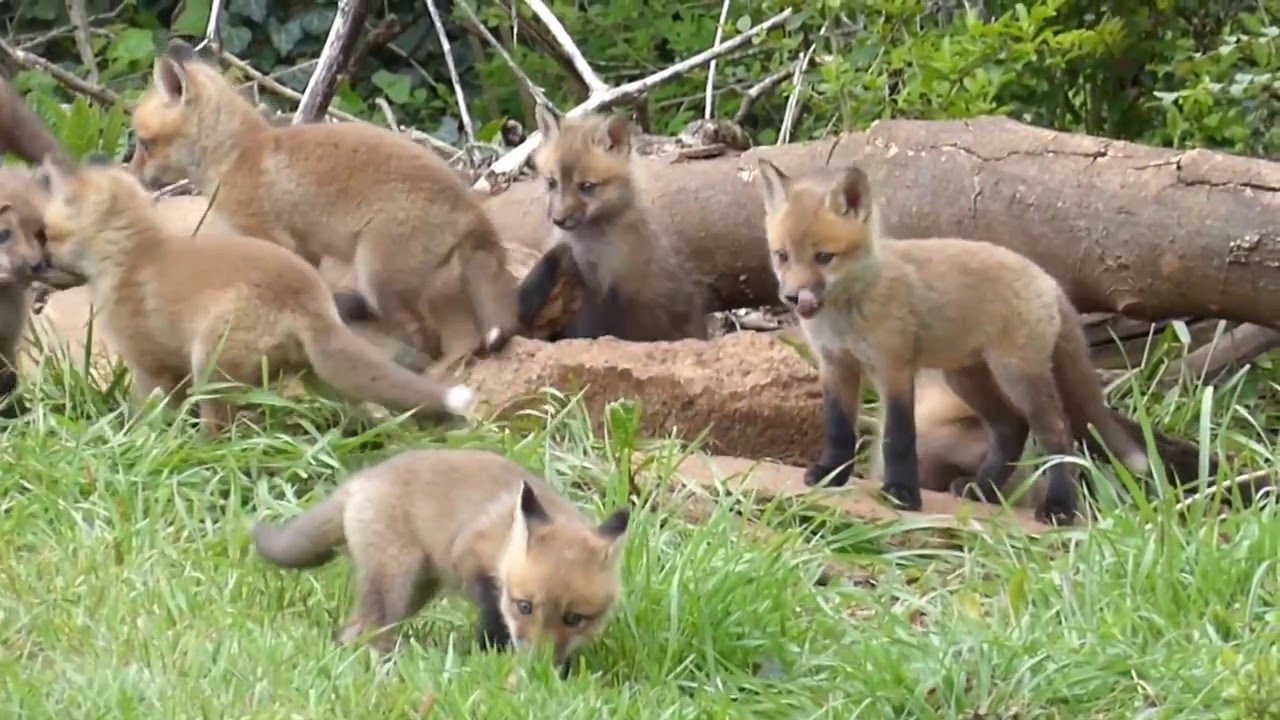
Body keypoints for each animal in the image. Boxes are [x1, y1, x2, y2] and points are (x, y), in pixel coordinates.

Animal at [35, 155, 476, 435]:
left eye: (47, 235)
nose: (33, 266)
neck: (136, 258)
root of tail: (310, 299)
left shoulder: (152, 367)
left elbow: (146, 412)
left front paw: (137, 439)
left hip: (210, 365)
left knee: (216, 429)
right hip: (319, 376)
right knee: (368, 411)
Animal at [128, 39, 519, 362]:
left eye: (144, 144)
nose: (130, 177)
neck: (238, 154)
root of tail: (470, 204)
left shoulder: (270, 236)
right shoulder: (305, 249)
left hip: (378, 276)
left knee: (430, 340)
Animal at [252, 448, 631, 672]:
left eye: (574, 618)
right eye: (524, 606)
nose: (535, 666)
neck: (503, 537)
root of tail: (361, 480)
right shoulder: (470, 558)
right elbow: (493, 617)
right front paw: (490, 657)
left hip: (416, 590)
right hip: (394, 579)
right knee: (361, 630)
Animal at [754, 158, 1216, 526]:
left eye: (824, 258)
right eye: (782, 256)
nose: (792, 298)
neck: (847, 314)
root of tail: (1048, 279)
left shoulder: (894, 367)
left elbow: (899, 438)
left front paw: (902, 494)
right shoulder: (837, 366)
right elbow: (837, 429)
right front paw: (831, 474)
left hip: (1016, 375)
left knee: (1055, 433)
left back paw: (1059, 508)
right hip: (967, 377)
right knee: (1011, 428)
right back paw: (985, 490)